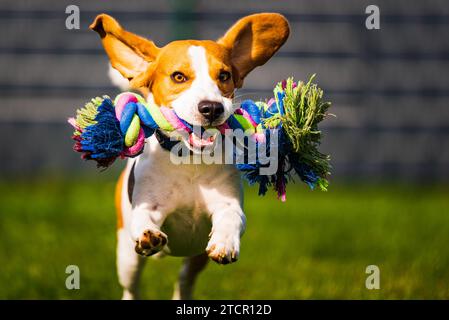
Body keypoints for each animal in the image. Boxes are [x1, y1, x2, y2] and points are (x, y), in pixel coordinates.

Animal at [89, 11, 288, 298]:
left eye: (224, 75)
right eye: (179, 77)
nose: (212, 108)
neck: (190, 161)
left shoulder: (227, 203)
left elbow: (231, 217)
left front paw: (225, 243)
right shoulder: (148, 206)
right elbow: (144, 218)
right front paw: (149, 233)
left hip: (196, 259)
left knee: (184, 279)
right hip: (127, 257)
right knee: (131, 286)